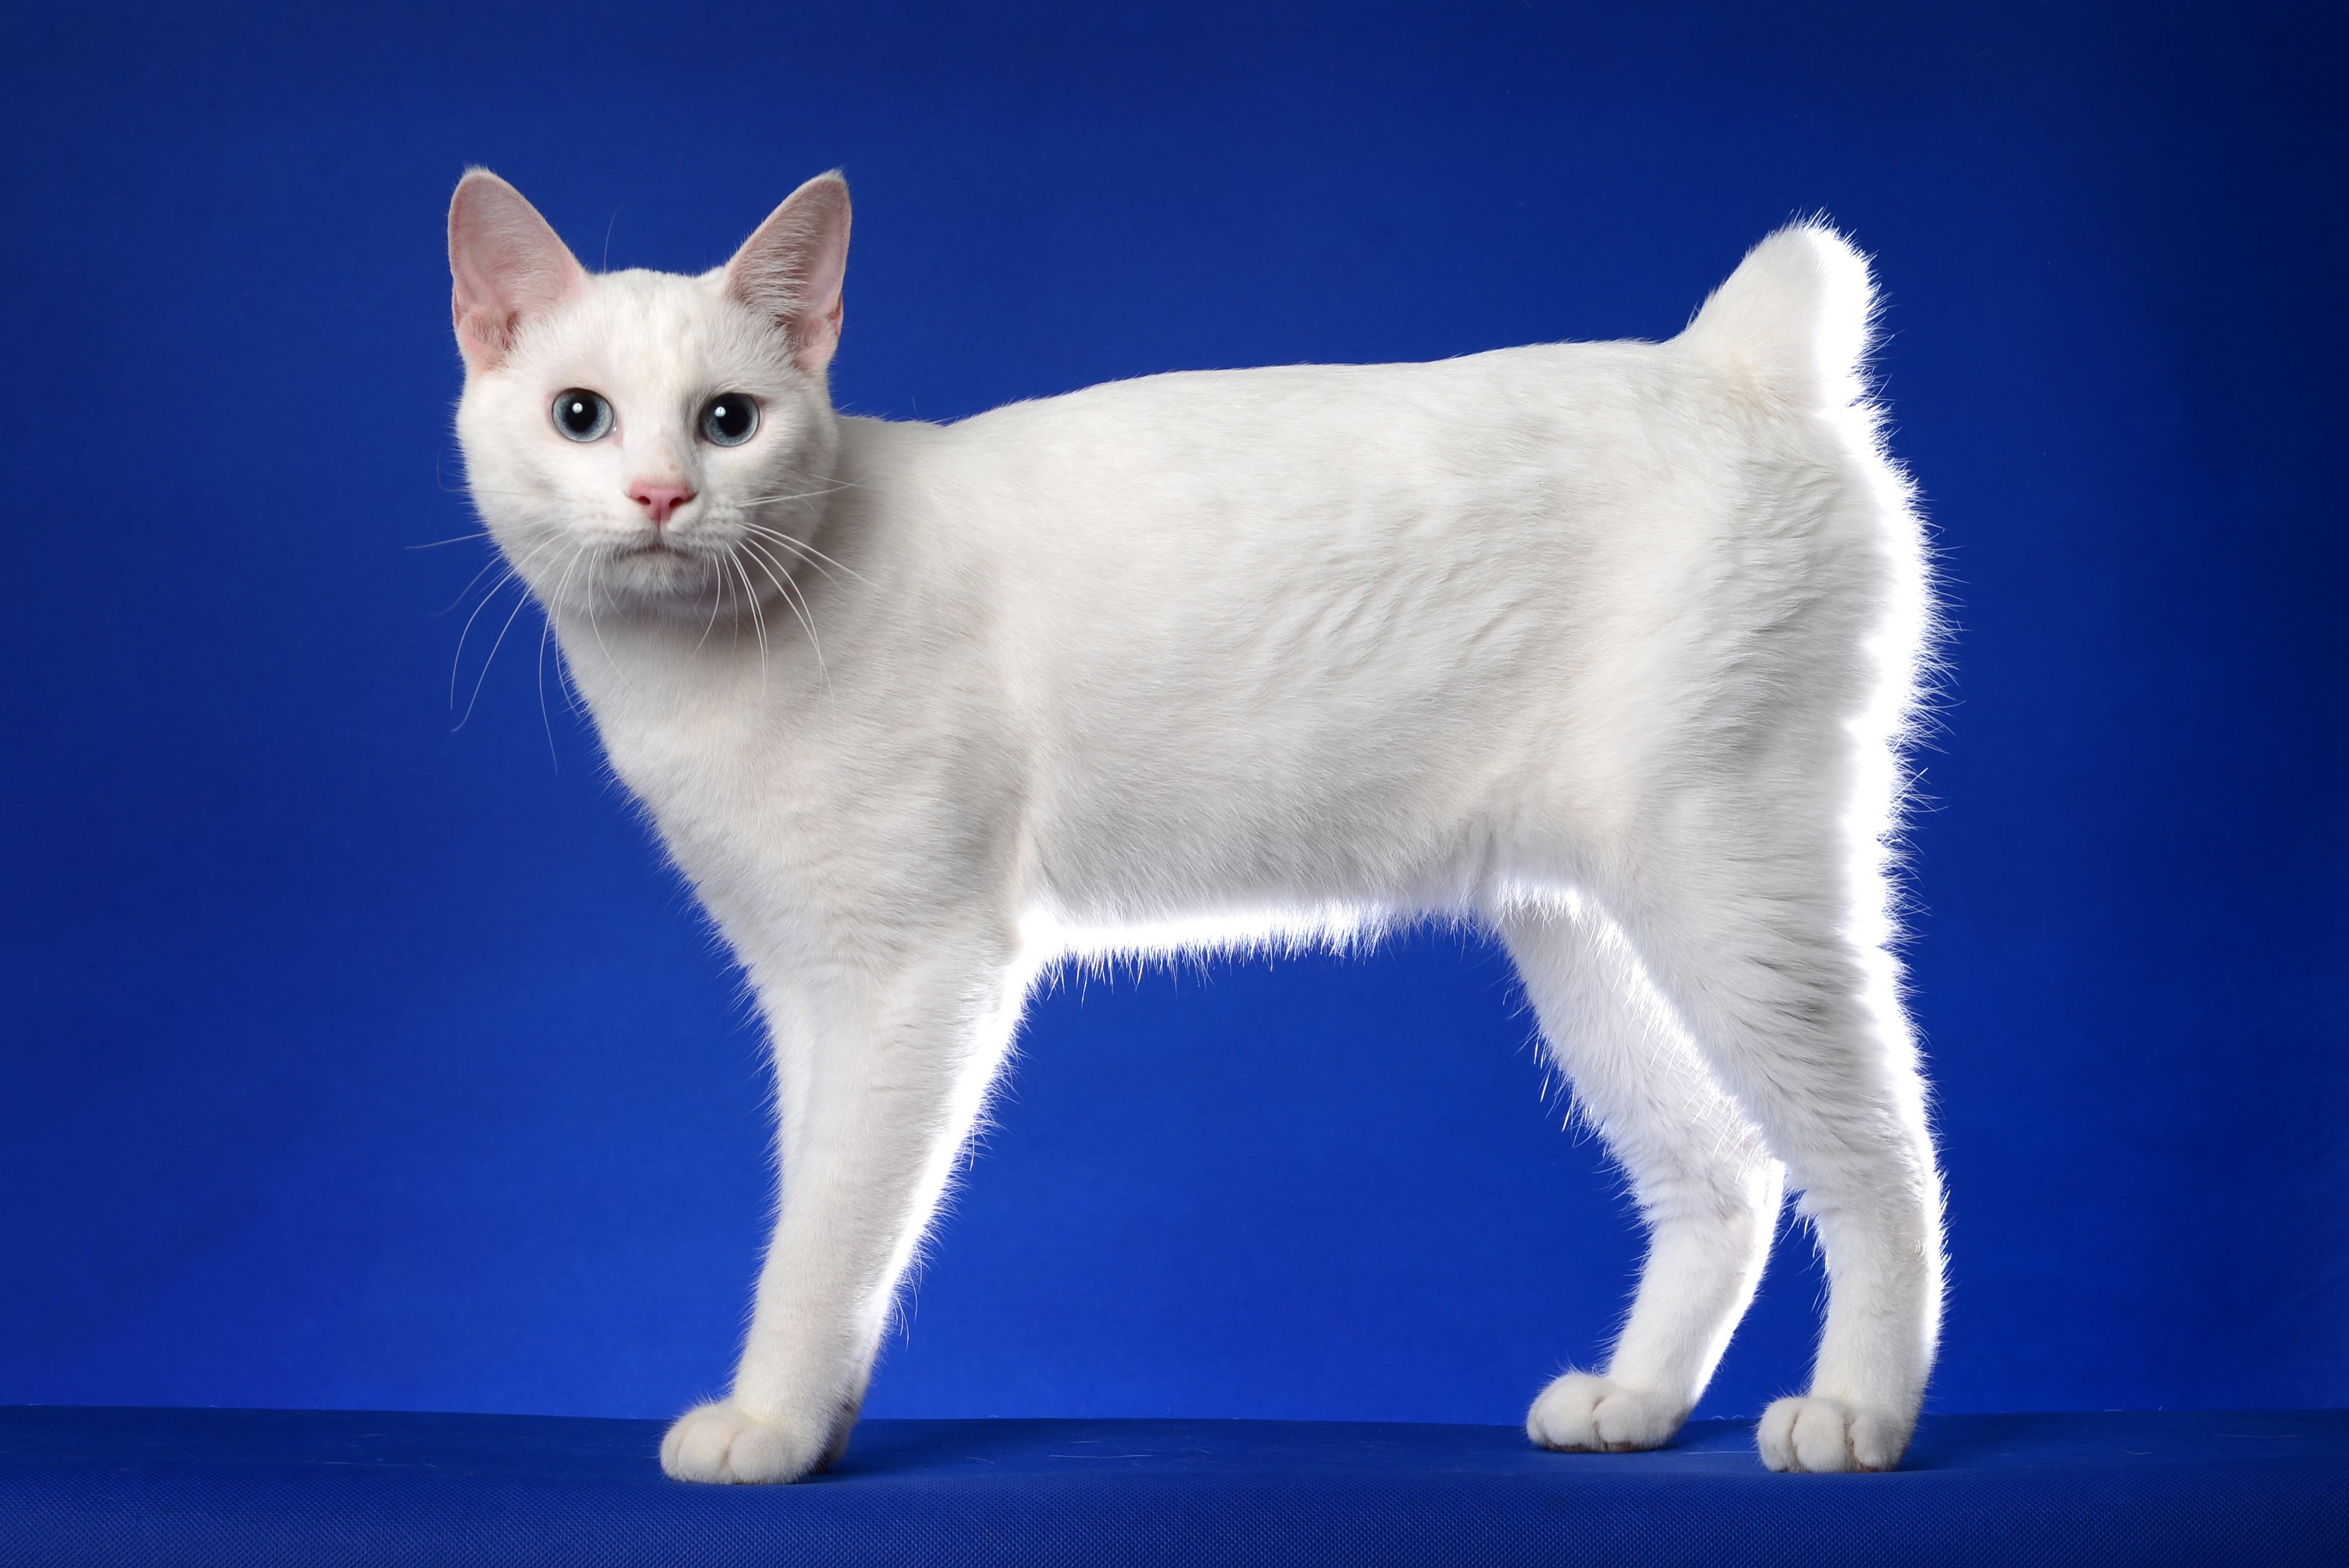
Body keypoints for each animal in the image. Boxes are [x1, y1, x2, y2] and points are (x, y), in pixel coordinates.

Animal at [444, 169, 1945, 1483]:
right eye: (581, 417)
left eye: (728, 421)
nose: (659, 496)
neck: (698, 670)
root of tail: (1724, 357)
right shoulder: (808, 991)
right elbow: (825, 1204)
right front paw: (816, 1423)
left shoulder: (911, 978)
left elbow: (826, 1232)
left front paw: (767, 1424)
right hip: (1588, 933)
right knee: (1725, 1170)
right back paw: (1633, 1401)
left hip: (1727, 885)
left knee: (1887, 1156)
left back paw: (1852, 1413)